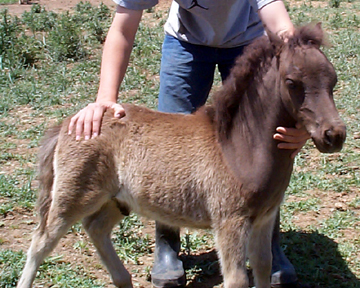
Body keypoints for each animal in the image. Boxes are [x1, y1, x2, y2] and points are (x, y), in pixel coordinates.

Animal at [16, 24, 346, 288]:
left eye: (333, 79)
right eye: (292, 82)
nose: (334, 135)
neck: (238, 146)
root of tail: (69, 123)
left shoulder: (264, 218)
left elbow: (263, 268)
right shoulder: (230, 221)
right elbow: (238, 279)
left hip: (116, 199)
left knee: (95, 228)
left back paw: (123, 280)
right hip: (73, 196)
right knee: (40, 243)